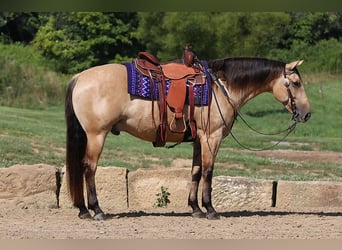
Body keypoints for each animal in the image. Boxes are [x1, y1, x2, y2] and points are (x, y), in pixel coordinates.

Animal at [63, 53, 310, 220]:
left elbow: (196, 172)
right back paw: (96, 210)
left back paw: (83, 210)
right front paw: (210, 209)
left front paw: (195, 208)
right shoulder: (212, 137)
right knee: (89, 167)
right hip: (96, 135)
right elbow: (209, 172)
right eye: (296, 83)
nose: (307, 114)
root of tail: (80, 77)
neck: (222, 87)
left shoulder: (199, 140)